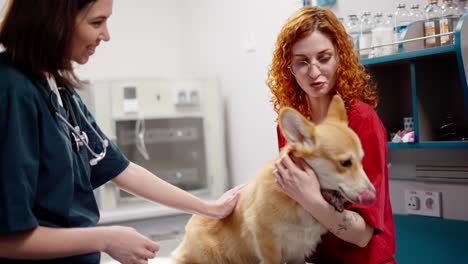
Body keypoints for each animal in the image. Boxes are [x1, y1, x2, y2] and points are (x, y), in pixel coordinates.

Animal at [172, 95, 376, 264]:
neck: (298, 202)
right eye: (345, 163)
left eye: (362, 159)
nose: (374, 196)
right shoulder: (268, 245)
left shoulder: (298, 252)